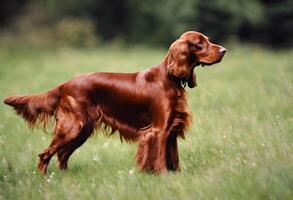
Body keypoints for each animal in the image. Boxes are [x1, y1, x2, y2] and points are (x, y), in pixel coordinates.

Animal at [3, 31, 225, 173]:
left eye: (208, 40)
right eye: (199, 43)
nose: (224, 50)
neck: (169, 77)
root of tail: (65, 84)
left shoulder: (172, 130)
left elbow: (174, 160)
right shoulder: (159, 130)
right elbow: (160, 159)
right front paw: (162, 177)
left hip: (82, 130)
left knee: (62, 155)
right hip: (72, 127)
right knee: (46, 154)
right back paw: (42, 178)